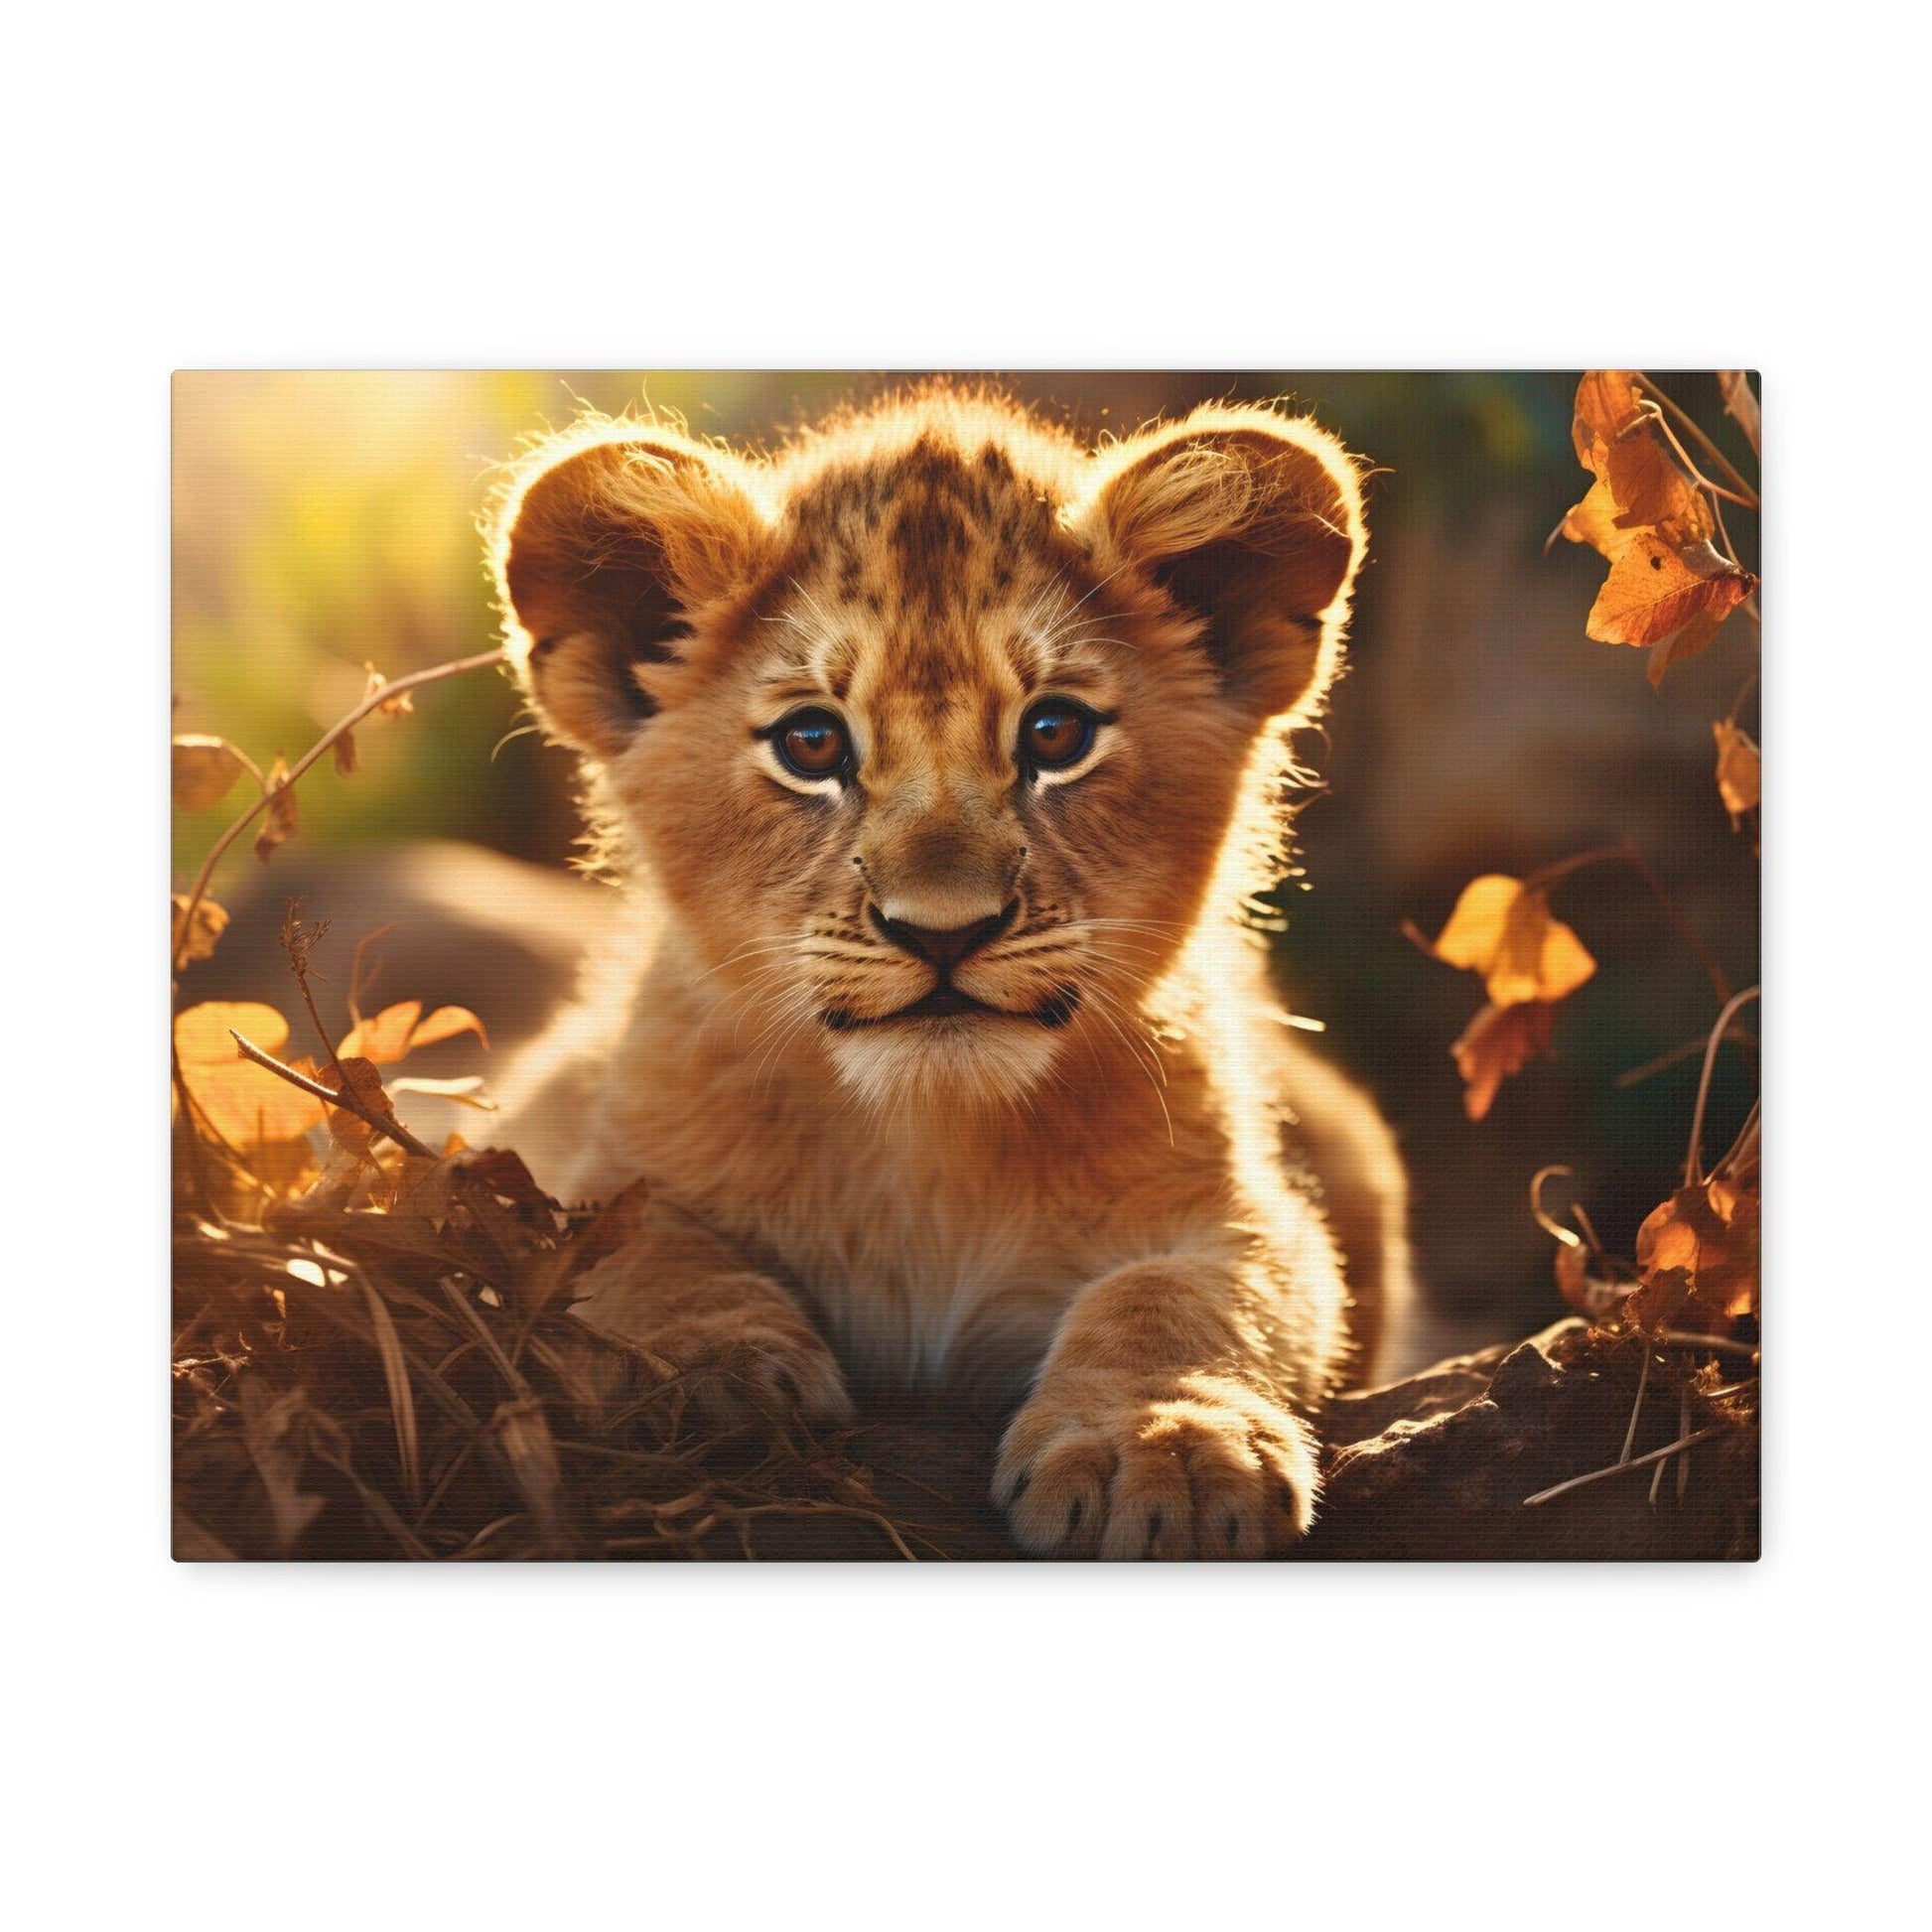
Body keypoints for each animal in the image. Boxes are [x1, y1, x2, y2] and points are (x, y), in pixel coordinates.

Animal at [492, 383, 1414, 1557]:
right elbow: (633, 1242)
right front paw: (707, 1371)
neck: (927, 1143)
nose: (942, 931)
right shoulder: (573, 1150)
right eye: (810, 743)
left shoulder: (1246, 1211)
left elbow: (1185, 1294)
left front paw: (1161, 1445)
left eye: (1055, 733)